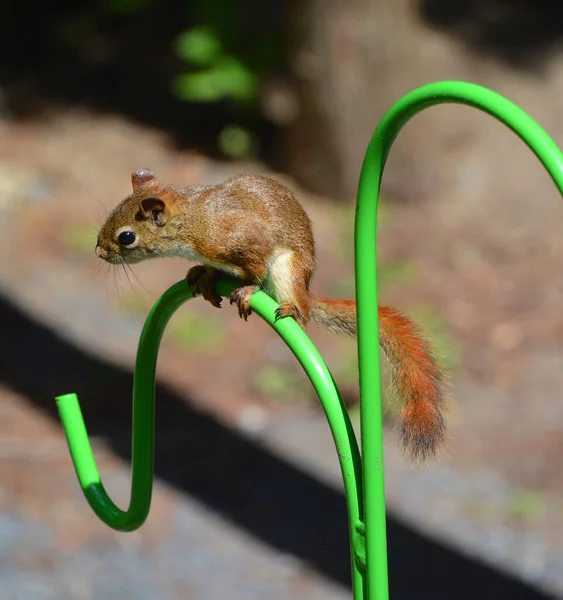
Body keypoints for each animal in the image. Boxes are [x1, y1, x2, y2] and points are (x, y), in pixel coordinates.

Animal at [97, 169, 450, 464]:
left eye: (126, 237)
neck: (192, 220)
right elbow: (215, 268)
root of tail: (306, 289)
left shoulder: (241, 239)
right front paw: (207, 276)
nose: (99, 252)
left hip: (288, 271)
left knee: (301, 312)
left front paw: (247, 289)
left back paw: (291, 307)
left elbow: (255, 266)